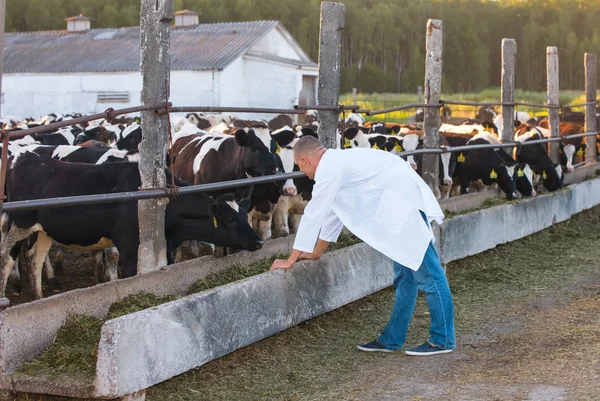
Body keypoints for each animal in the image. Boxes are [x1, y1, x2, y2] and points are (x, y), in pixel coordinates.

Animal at [0, 153, 262, 296]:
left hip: (44, 230)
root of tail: (27, 159)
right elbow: (131, 276)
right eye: (230, 219)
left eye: (243, 215)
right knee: (7, 258)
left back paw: (38, 295)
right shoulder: (128, 247)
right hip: (18, 224)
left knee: (35, 258)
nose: (259, 241)